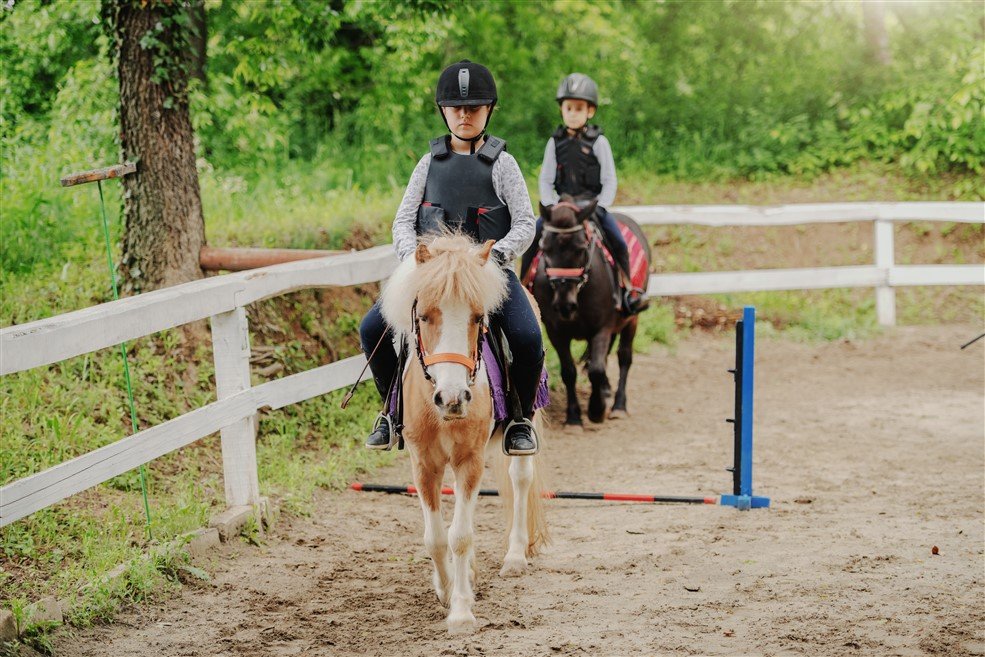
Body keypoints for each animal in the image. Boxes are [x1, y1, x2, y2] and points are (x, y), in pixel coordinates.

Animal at [378, 233, 548, 632]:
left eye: (477, 318)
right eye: (424, 317)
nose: (453, 398)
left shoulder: (469, 460)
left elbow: (460, 536)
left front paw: (460, 612)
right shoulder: (424, 464)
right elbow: (436, 538)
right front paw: (446, 589)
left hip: (525, 424)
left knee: (521, 478)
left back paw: (515, 556)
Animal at [536, 199, 648, 426]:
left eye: (580, 248)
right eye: (544, 248)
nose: (565, 305)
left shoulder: (601, 329)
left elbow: (596, 369)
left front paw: (596, 410)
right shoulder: (555, 332)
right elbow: (569, 371)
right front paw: (573, 417)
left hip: (632, 319)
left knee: (624, 357)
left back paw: (618, 406)